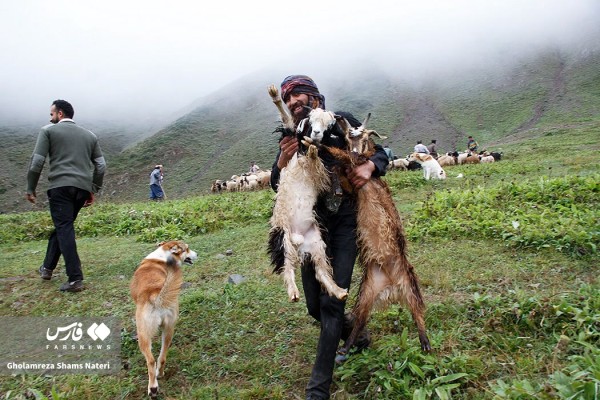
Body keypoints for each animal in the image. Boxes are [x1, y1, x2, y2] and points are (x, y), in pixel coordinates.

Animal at [130, 241, 198, 396]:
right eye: (187, 249)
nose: (197, 254)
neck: (163, 256)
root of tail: (156, 294)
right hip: (168, 330)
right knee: (162, 357)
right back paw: (159, 374)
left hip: (143, 334)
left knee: (150, 361)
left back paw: (153, 387)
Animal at [324, 114, 432, 354]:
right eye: (348, 136)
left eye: (365, 136)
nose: (356, 151)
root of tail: (391, 285)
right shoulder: (352, 180)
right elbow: (340, 167)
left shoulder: (358, 168)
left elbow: (341, 156)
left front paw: (314, 143)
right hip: (367, 291)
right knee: (361, 317)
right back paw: (345, 348)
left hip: (409, 283)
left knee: (417, 310)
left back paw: (425, 342)